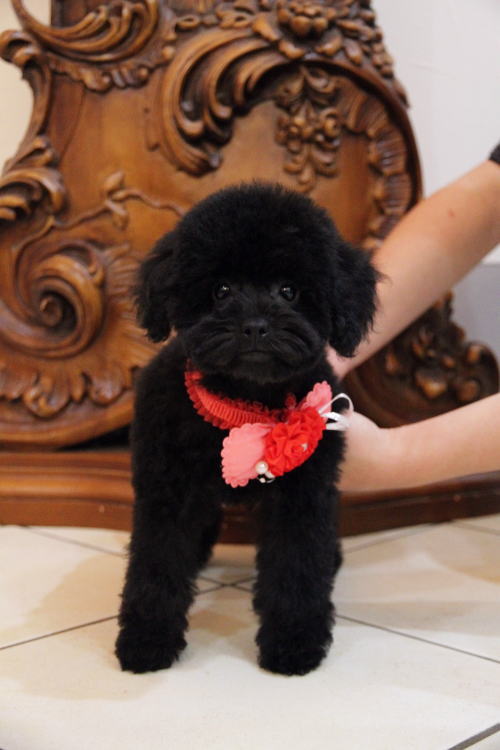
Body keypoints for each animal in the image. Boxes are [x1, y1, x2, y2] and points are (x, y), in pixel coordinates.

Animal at [115, 182, 378, 676]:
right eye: (221, 290)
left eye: (290, 291)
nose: (255, 325)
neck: (243, 406)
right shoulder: (166, 491)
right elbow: (156, 563)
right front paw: (147, 640)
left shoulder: (302, 497)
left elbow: (297, 566)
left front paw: (294, 643)